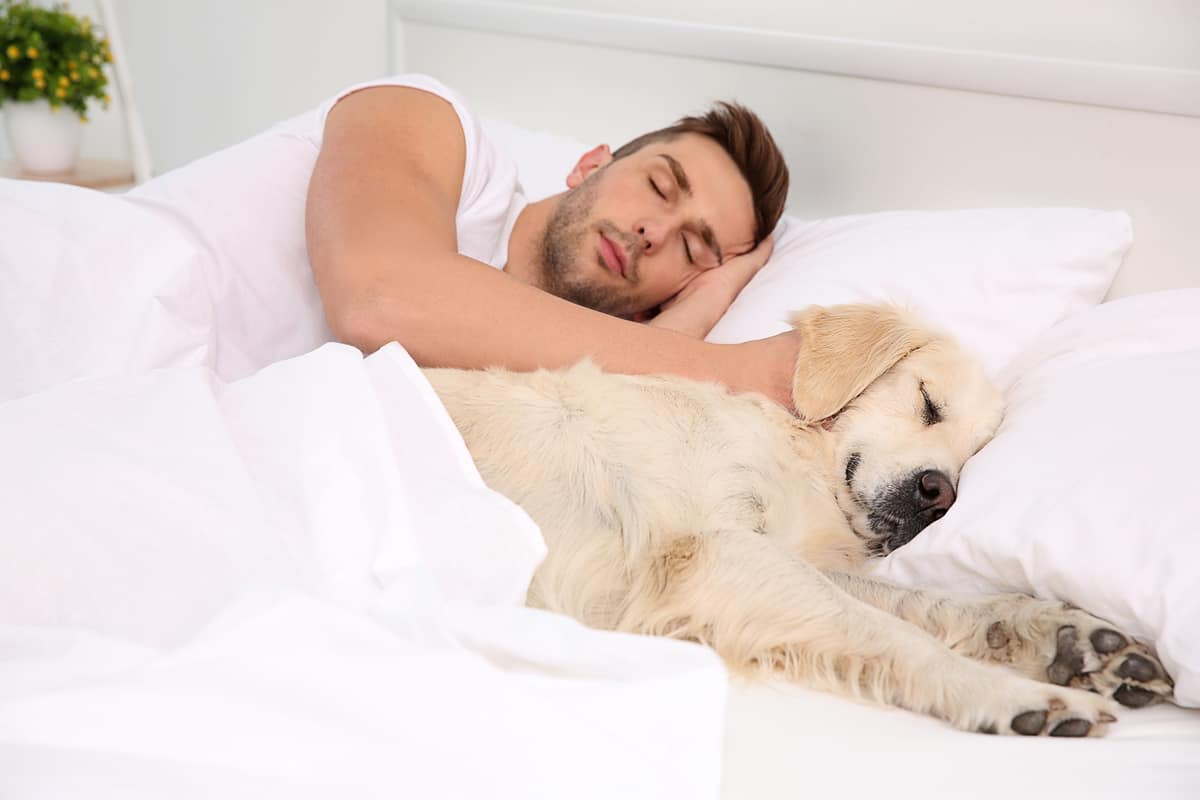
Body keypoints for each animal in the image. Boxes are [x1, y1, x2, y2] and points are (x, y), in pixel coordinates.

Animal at [424, 304, 1171, 738]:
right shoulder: (713, 552)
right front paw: (1008, 691)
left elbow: (920, 602)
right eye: (928, 403)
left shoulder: (776, 553)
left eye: (977, 455)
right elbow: (889, 631)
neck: (799, 454)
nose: (941, 495)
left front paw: (1064, 634)